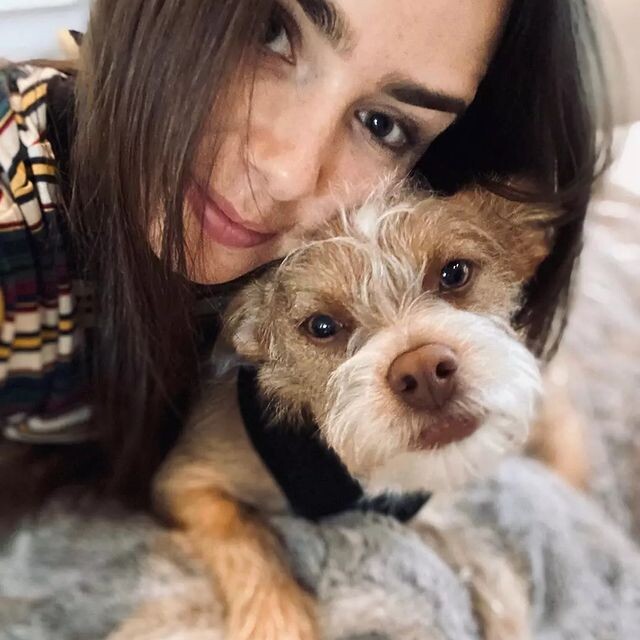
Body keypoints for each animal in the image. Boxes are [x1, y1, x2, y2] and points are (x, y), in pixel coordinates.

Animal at [153, 186, 553, 640]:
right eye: (322, 326)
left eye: (454, 273)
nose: (424, 373)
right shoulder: (184, 477)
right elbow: (237, 526)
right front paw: (277, 614)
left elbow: (490, 571)